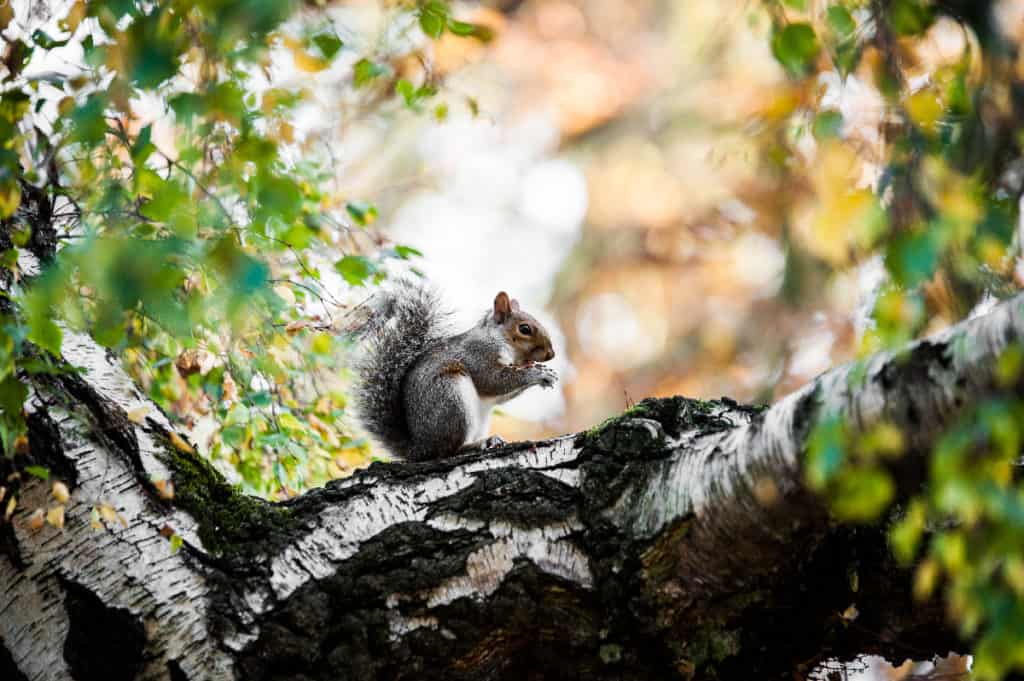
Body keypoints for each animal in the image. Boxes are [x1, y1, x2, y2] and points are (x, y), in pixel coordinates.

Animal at [354, 278, 561, 458]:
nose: (551, 354)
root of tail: (420, 448)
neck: (497, 338)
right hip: (450, 397)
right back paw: (476, 444)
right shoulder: (478, 354)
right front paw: (537, 373)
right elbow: (492, 380)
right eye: (525, 329)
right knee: (448, 450)